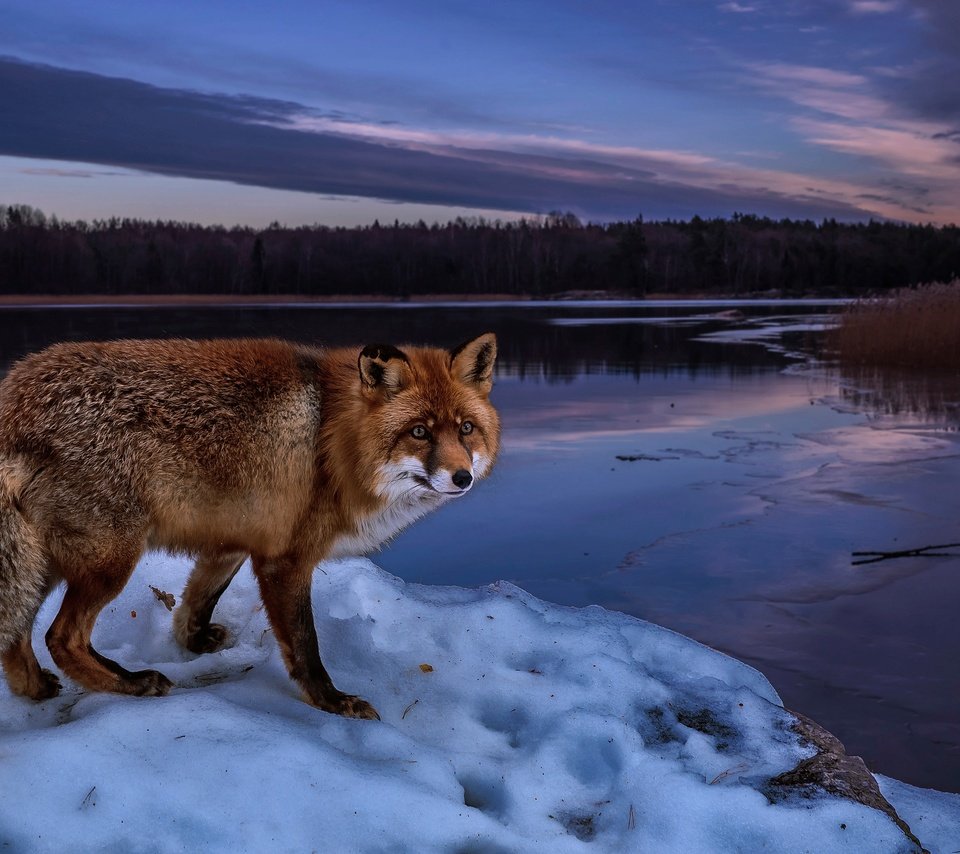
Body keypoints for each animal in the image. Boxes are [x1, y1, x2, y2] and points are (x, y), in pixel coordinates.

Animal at [1, 336, 502, 724]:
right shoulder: (286, 561)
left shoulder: (234, 539)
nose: (462, 478)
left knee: (17, 636)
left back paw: (36, 688)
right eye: (419, 432)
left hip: (46, 561)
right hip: (109, 562)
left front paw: (194, 642)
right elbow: (305, 647)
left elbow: (197, 601)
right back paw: (132, 683)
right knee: (60, 638)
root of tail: (14, 391)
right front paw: (331, 702)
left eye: (466, 429)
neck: (331, 440)